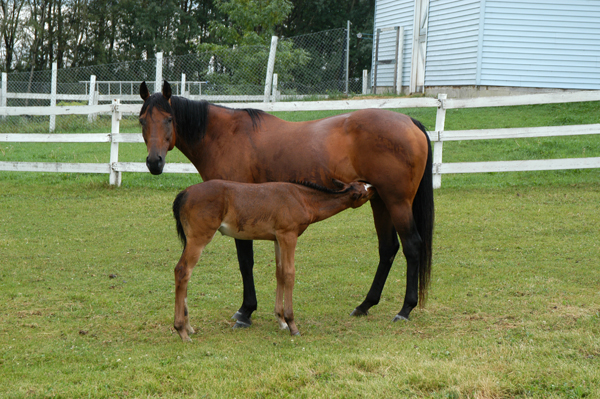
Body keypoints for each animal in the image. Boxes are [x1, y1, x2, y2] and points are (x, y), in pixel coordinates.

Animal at [171, 180, 372, 342]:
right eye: (365, 191)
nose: (375, 188)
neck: (302, 199)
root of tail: (184, 193)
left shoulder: (277, 239)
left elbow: (280, 273)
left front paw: (281, 320)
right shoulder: (288, 235)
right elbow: (290, 274)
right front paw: (292, 325)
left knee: (186, 274)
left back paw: (188, 327)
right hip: (199, 238)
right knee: (182, 271)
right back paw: (182, 330)